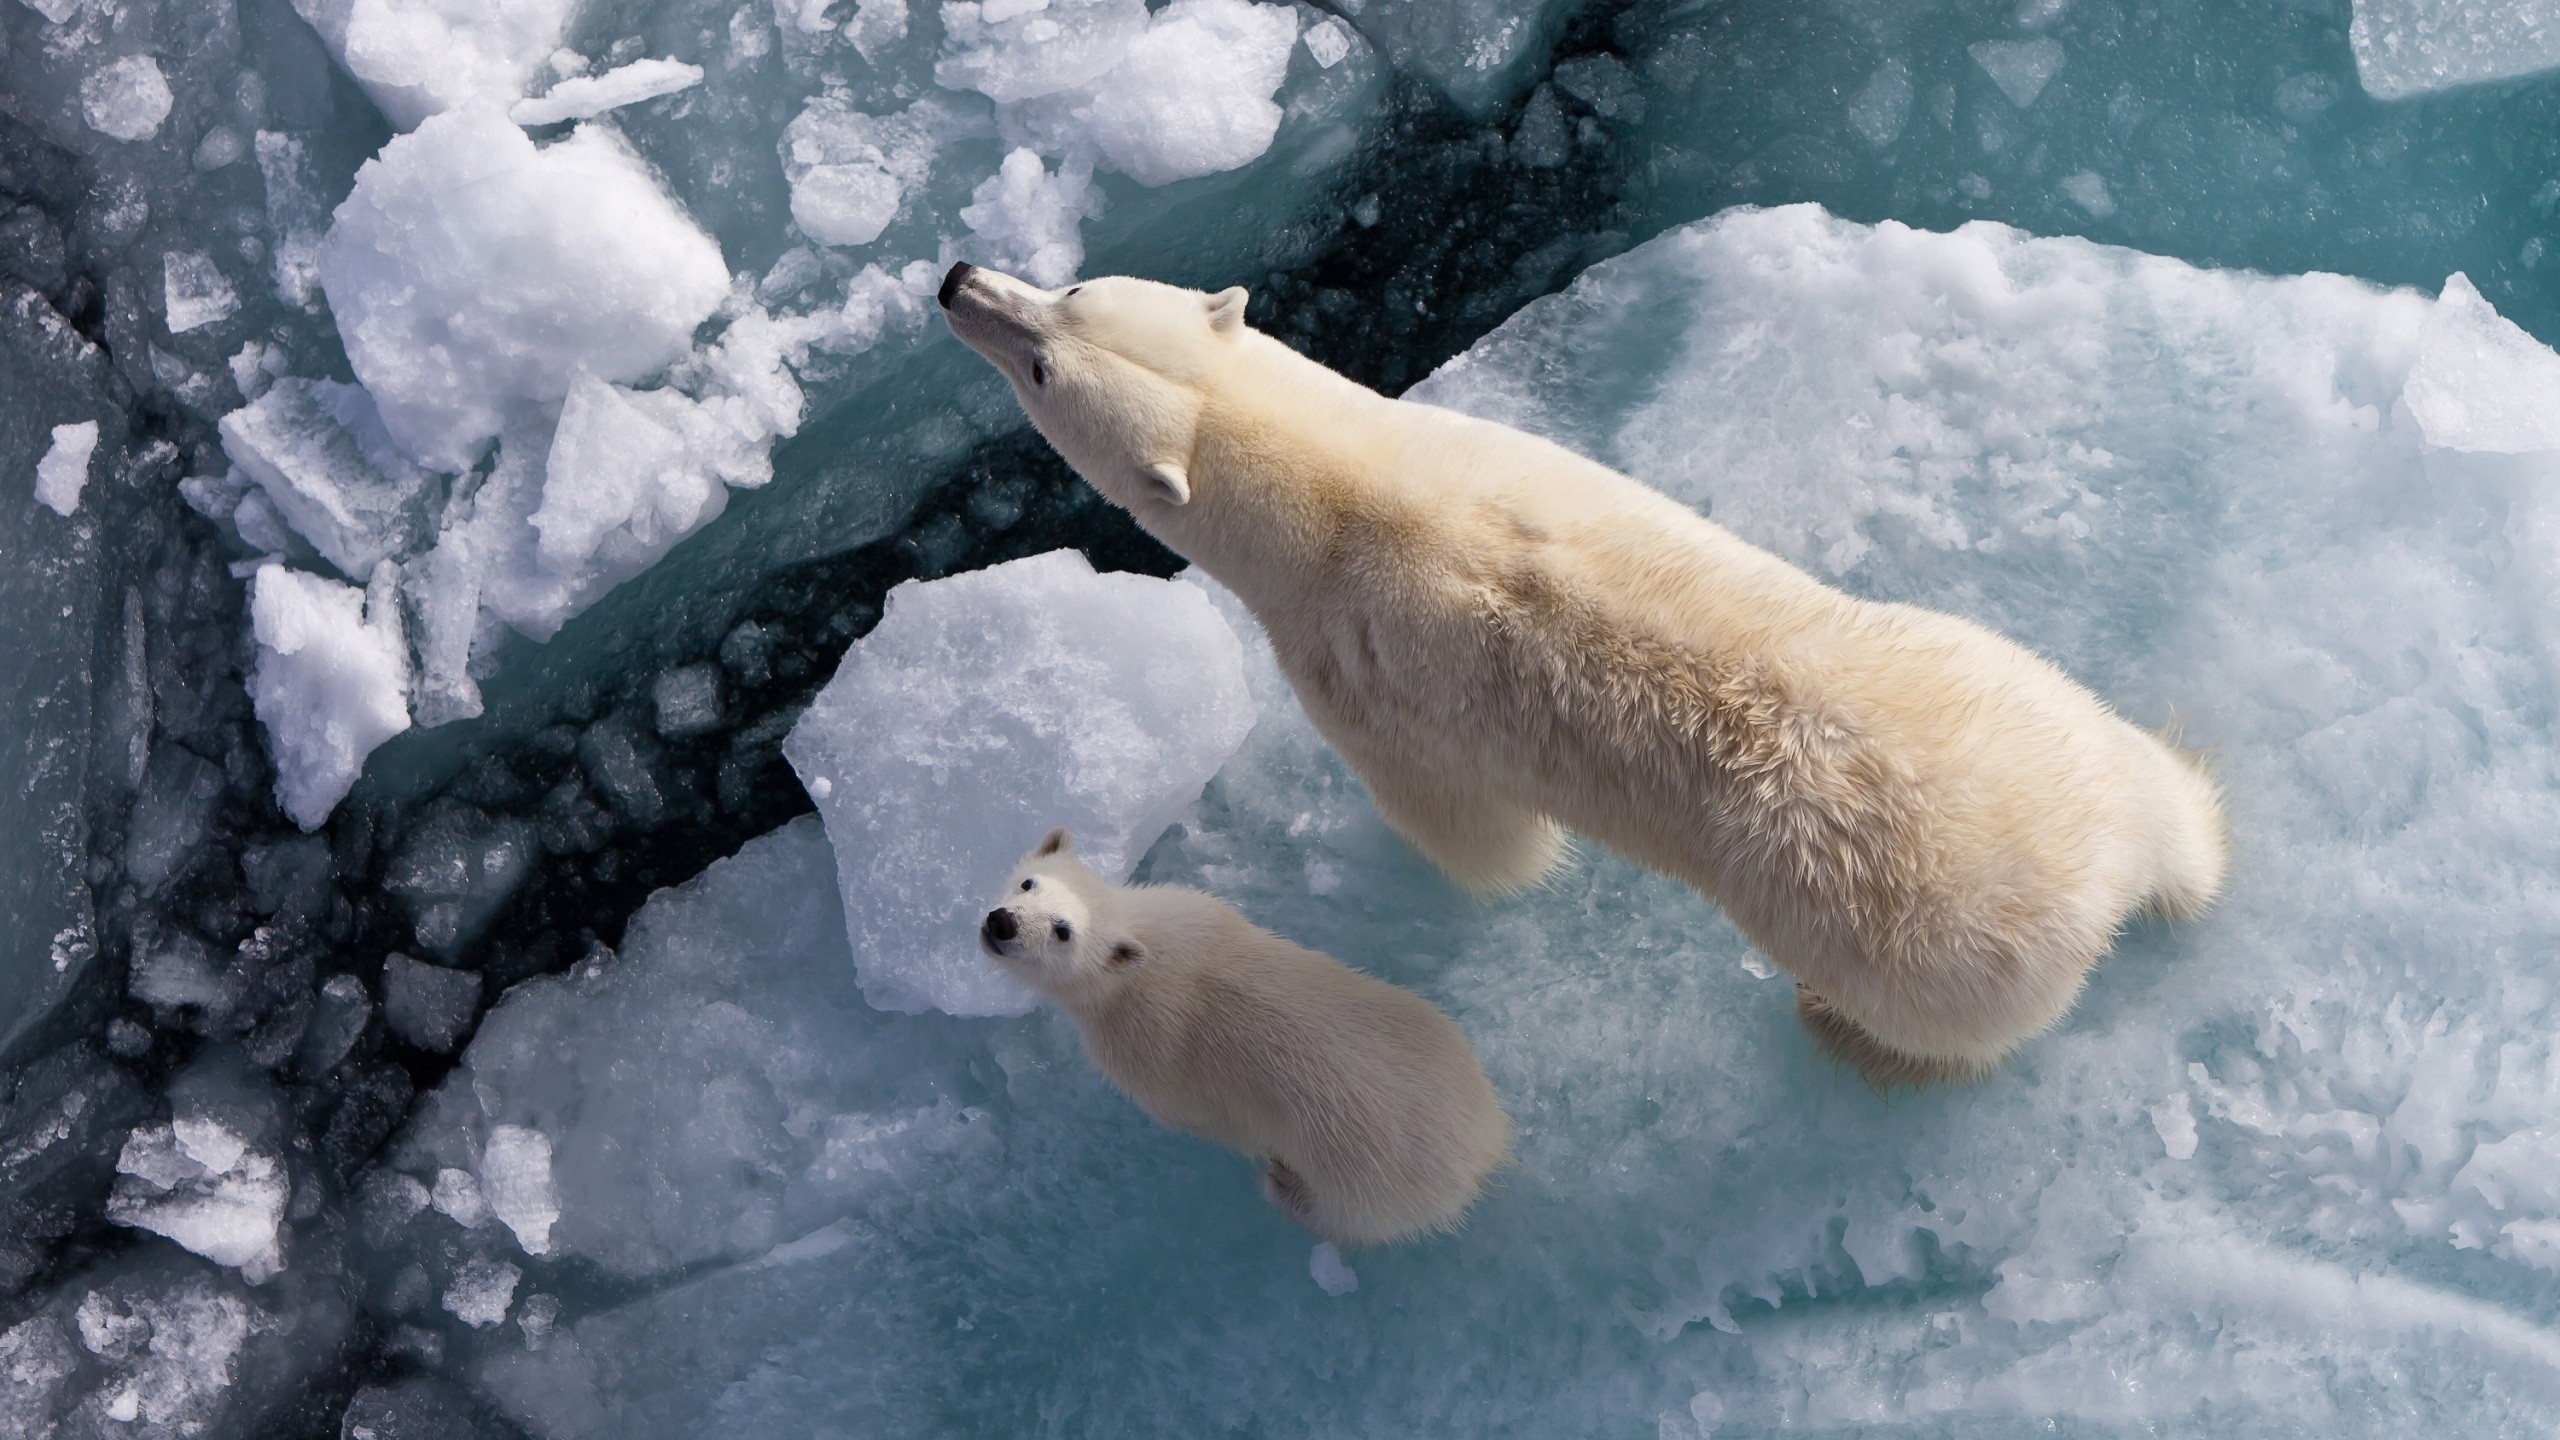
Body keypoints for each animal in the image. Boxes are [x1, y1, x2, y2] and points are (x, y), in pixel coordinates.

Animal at [942, 263, 2222, 1081]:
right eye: (1072, 295)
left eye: (1046, 356)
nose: (957, 280)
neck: (1344, 493)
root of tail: (2099, 872)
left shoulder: (1354, 673)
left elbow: (1467, 832)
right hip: (2013, 687)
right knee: (2152, 780)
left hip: (1919, 946)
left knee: (1937, 1026)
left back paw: (1838, 1030)